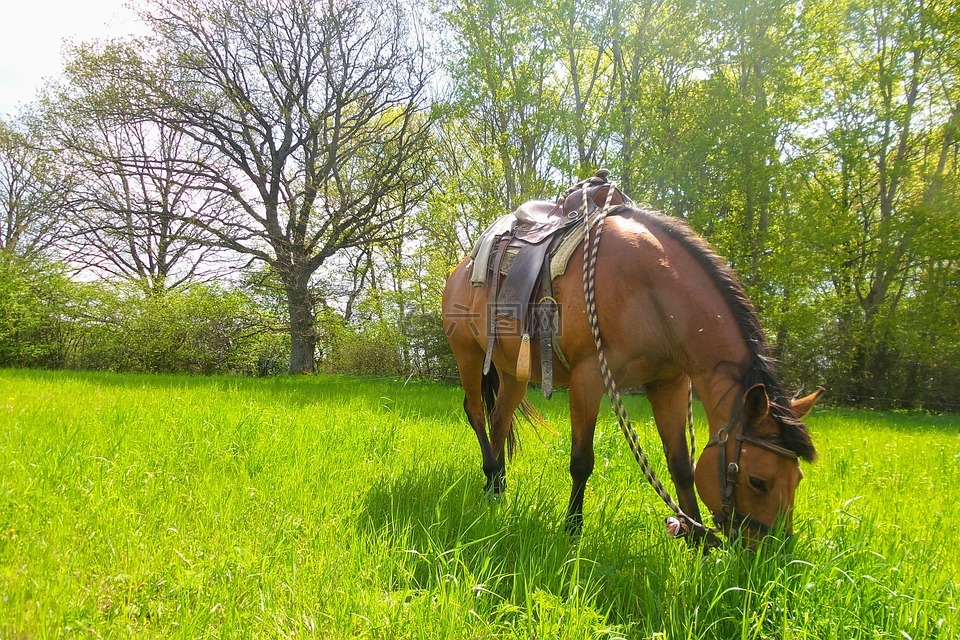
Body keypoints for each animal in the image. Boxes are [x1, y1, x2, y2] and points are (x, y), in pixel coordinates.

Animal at [441, 198, 822, 544]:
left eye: (798, 479)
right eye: (758, 481)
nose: (771, 556)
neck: (649, 290)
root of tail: (461, 268)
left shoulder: (669, 383)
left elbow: (681, 465)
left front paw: (696, 539)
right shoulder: (588, 378)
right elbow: (582, 461)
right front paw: (572, 530)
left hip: (513, 371)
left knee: (500, 419)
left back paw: (497, 490)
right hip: (468, 355)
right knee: (476, 412)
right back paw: (491, 473)